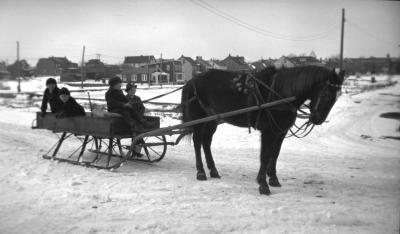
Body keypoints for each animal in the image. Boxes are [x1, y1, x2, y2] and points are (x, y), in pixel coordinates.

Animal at [180, 66, 344, 196]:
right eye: (325, 94)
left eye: (337, 97)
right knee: (197, 142)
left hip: (212, 120)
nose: (317, 119)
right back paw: (201, 172)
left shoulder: (280, 132)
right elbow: (265, 156)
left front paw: (273, 179)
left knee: (206, 142)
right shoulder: (268, 132)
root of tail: (191, 81)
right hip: (199, 119)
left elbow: (275, 154)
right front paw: (263, 185)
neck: (279, 92)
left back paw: (213, 170)